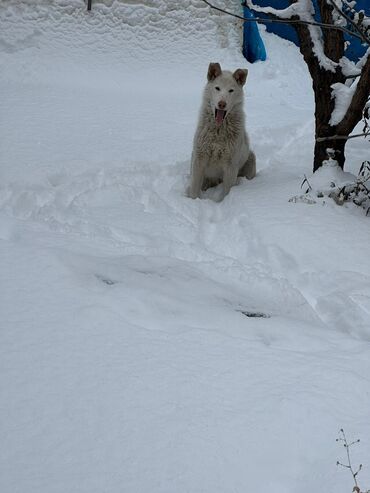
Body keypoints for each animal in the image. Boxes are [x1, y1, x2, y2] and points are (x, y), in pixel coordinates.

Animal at [189, 62, 256, 201]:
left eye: (231, 90)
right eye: (217, 88)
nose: (221, 104)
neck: (218, 130)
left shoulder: (231, 166)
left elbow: (227, 191)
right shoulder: (199, 159)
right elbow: (194, 189)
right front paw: (192, 202)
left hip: (251, 159)